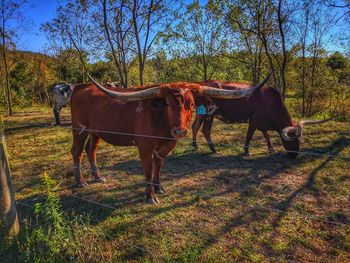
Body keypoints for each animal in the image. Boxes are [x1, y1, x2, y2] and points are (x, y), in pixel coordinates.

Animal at [72, 75, 268, 205]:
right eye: (167, 104)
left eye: (192, 104)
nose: (179, 131)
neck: (162, 124)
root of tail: (81, 87)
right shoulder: (144, 147)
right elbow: (149, 170)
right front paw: (150, 196)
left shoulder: (165, 147)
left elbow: (159, 166)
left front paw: (159, 187)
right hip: (79, 129)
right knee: (77, 152)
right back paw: (80, 181)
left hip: (95, 132)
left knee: (91, 150)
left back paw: (98, 176)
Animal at [191, 78, 330, 159]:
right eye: (293, 140)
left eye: (300, 140)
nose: (294, 155)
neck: (271, 102)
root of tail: (202, 84)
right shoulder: (254, 120)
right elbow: (249, 135)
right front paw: (246, 151)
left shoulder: (262, 123)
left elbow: (266, 135)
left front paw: (271, 148)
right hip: (209, 115)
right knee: (205, 130)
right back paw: (213, 149)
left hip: (200, 114)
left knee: (195, 126)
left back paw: (195, 146)